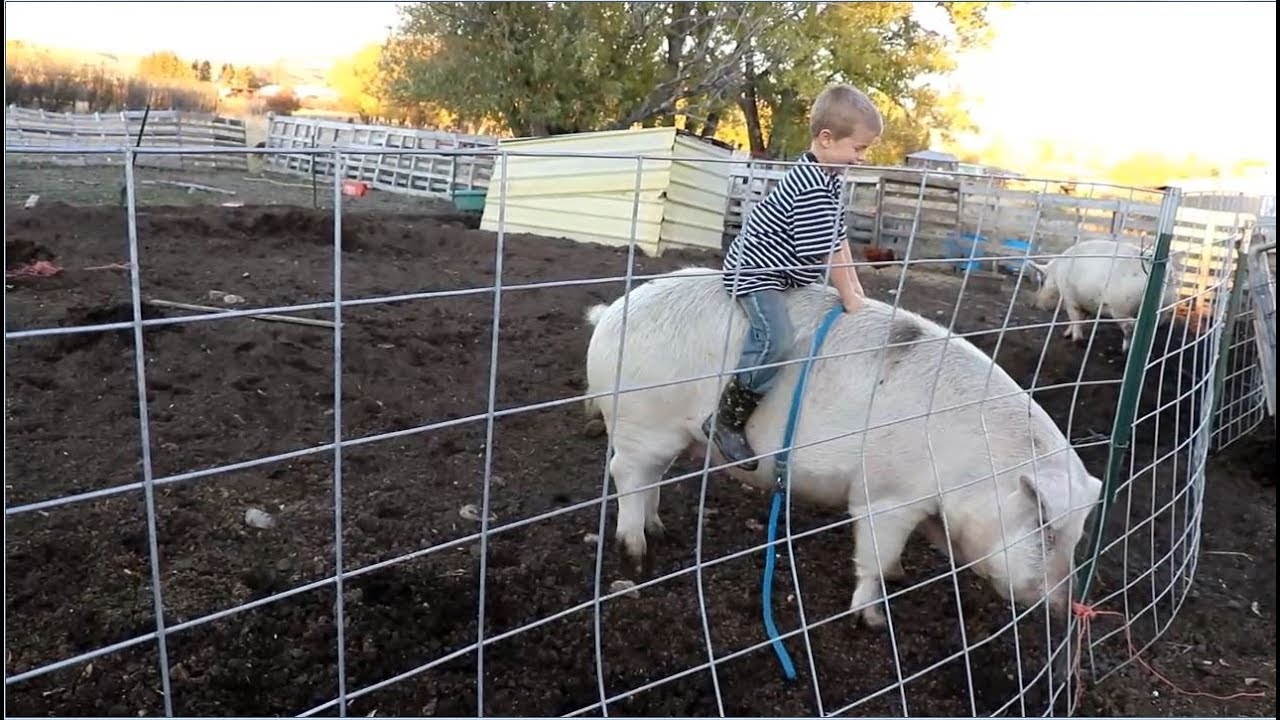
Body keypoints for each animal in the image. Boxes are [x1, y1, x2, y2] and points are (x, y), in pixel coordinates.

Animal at [583, 268, 1104, 627]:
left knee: (649, 480)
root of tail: (612, 312)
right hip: (642, 420)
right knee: (624, 474)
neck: (973, 462)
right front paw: (872, 620)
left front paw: (901, 577)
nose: (1064, 608)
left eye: (1079, 536)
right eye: (1044, 527)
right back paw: (637, 554)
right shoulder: (886, 496)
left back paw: (660, 531)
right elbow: (874, 557)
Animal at [1028, 239, 1187, 352]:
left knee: (1130, 326)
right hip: (1165, 307)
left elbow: (1075, 319)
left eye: (1041, 282)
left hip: (1121, 307)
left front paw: (1076, 340)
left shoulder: (1069, 297)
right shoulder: (1087, 302)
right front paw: (1066, 334)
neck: (1056, 273)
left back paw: (1125, 350)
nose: (1034, 304)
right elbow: (1082, 319)